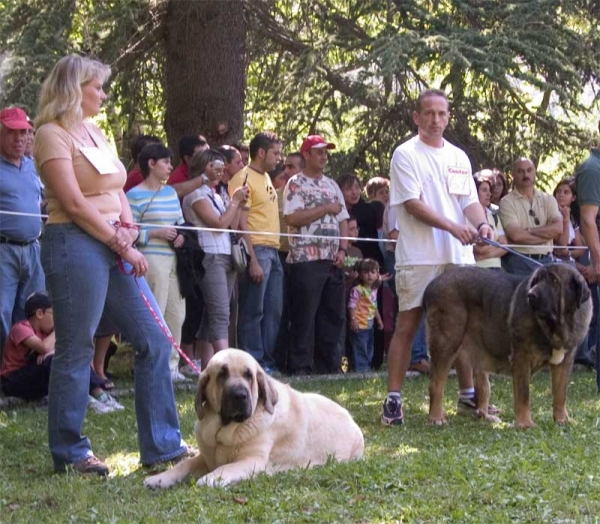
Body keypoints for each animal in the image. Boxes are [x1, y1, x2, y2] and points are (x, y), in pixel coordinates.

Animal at [424, 264, 592, 428]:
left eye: (554, 281)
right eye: (536, 280)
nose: (531, 295)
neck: (557, 326)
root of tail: (434, 283)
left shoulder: (565, 361)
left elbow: (560, 393)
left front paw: (562, 420)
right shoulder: (522, 358)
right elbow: (523, 394)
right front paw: (525, 424)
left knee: (483, 388)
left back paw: (485, 417)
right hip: (446, 343)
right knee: (436, 384)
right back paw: (436, 417)